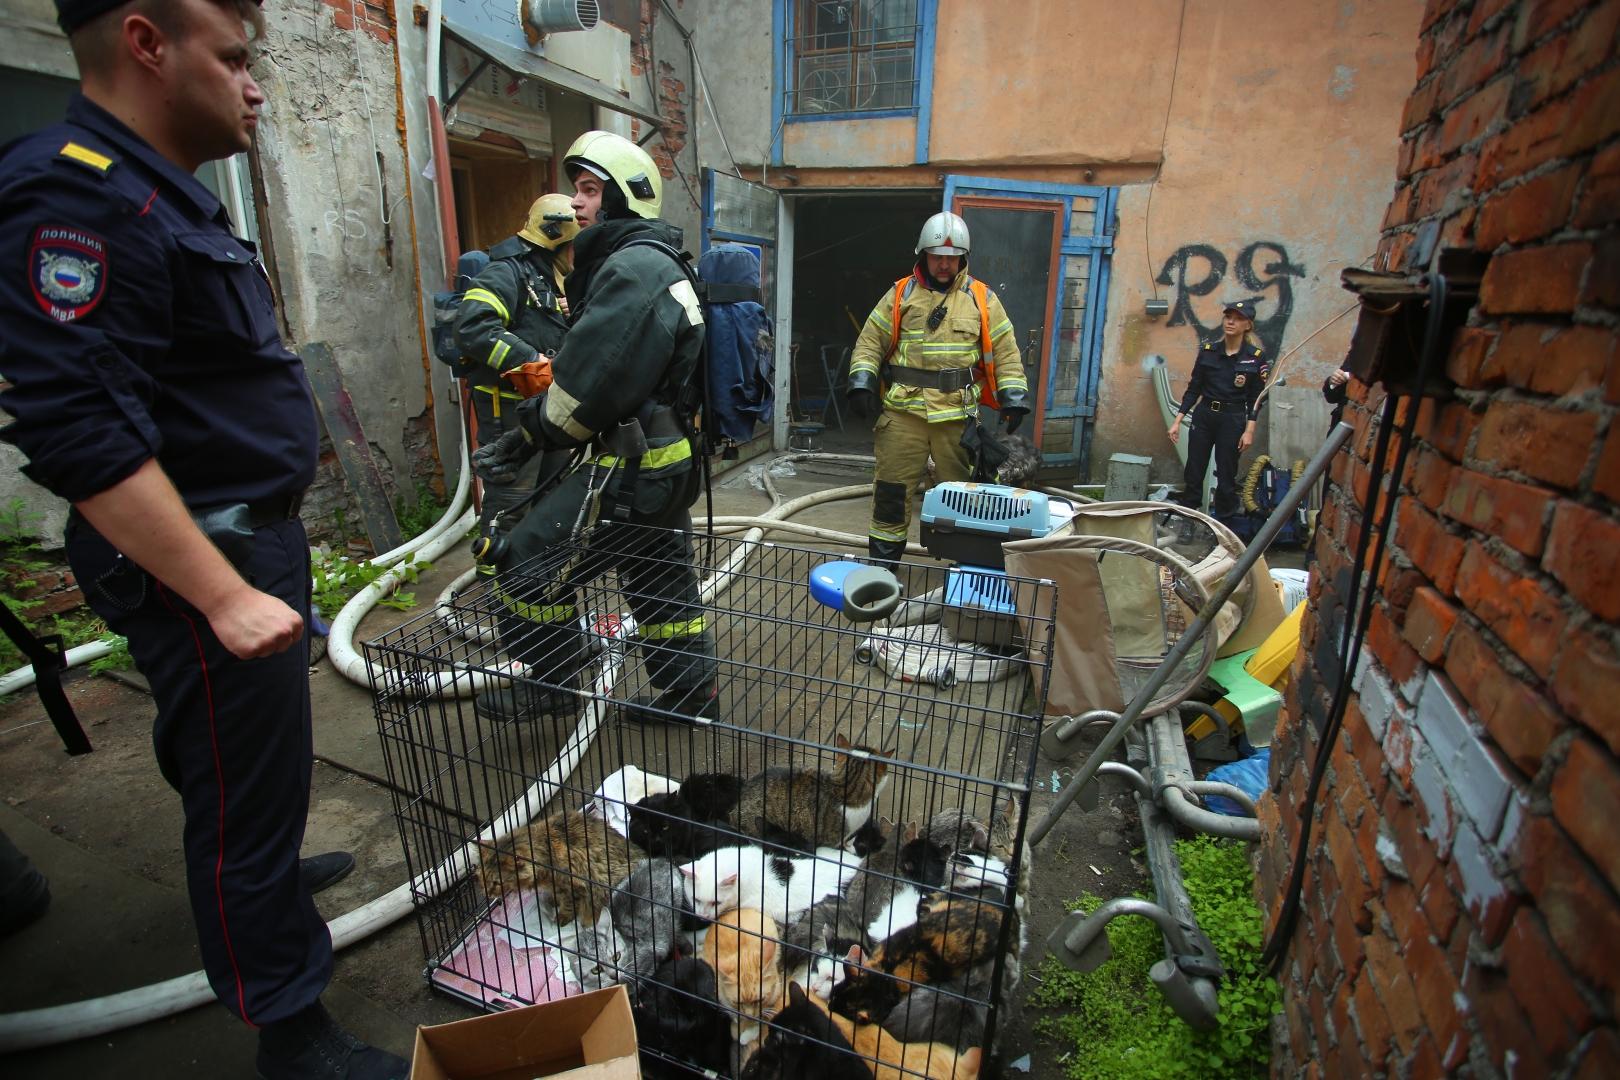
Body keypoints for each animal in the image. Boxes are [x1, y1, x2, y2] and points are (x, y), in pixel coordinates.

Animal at [476, 806, 641, 926]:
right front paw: (554, 899)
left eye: (496, 883)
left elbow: (569, 904)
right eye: (481, 879)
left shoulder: (575, 884)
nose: (486, 893)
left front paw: (563, 916)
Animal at [699, 906, 787, 1049]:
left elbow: (763, 1017)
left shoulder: (777, 991)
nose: (750, 1016)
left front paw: (749, 1031)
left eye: (760, 999)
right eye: (737, 1002)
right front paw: (739, 1026)